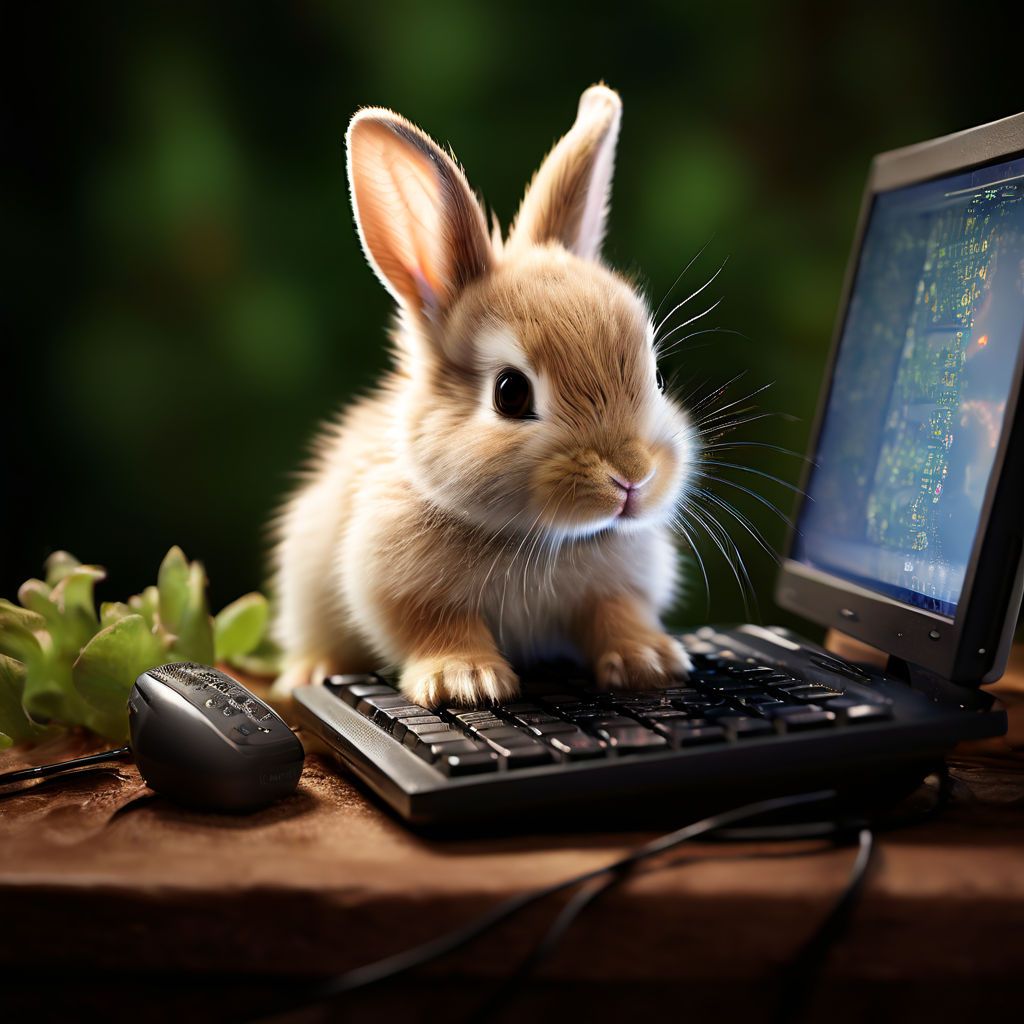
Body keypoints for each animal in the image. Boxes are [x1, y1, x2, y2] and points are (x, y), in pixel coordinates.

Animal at [272, 83, 700, 708]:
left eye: (658, 377)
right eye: (510, 393)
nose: (632, 477)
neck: (539, 538)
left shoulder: (619, 587)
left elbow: (616, 614)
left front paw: (650, 661)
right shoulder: (400, 586)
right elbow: (438, 626)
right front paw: (466, 681)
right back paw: (310, 671)